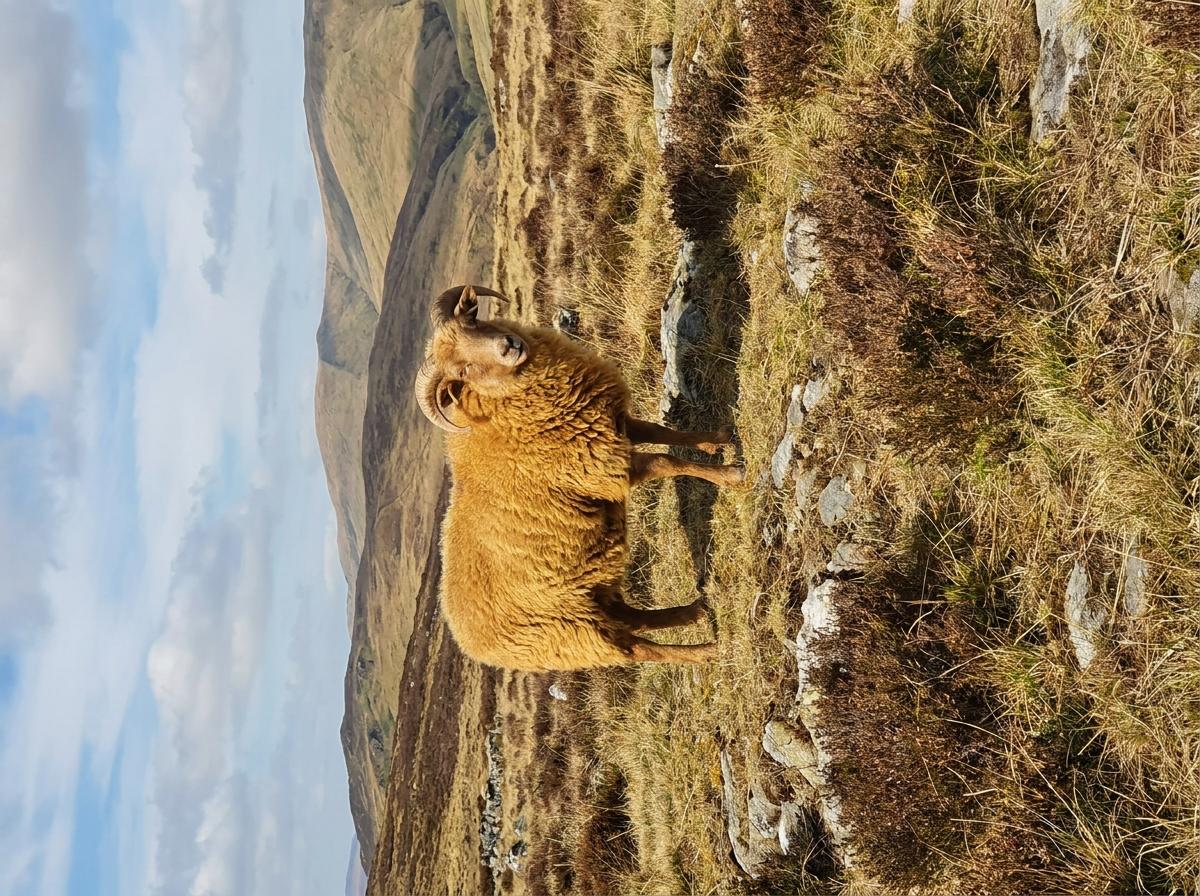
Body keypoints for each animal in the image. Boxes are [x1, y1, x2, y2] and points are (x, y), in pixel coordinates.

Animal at [414, 284, 743, 671]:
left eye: (472, 324)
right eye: (462, 371)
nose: (508, 345)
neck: (502, 412)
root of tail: (470, 644)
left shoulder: (612, 424)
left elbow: (666, 433)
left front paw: (717, 439)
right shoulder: (604, 469)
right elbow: (666, 460)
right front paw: (731, 475)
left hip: (588, 596)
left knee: (632, 618)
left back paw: (695, 612)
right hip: (573, 633)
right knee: (639, 648)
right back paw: (707, 651)